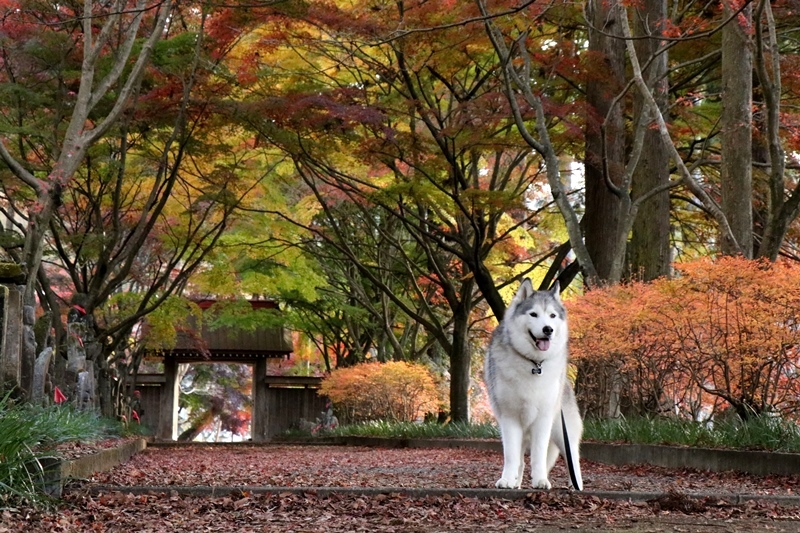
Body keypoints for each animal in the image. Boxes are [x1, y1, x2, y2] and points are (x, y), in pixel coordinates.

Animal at [482, 278, 580, 490]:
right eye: (533, 314)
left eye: (552, 316)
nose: (548, 329)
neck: (534, 364)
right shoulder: (510, 419)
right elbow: (512, 457)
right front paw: (507, 480)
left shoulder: (543, 419)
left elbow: (539, 455)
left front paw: (540, 480)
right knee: (520, 460)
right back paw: (515, 482)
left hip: (562, 430)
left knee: (573, 458)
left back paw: (576, 485)